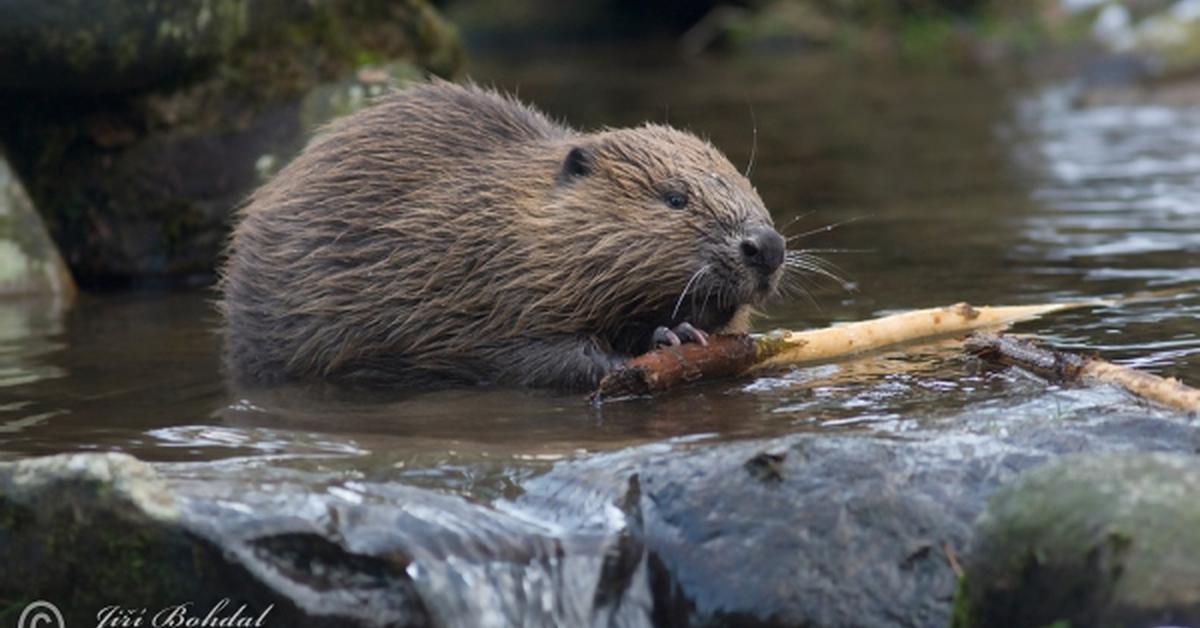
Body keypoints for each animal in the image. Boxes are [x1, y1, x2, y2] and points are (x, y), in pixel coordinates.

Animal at [222, 81, 787, 391]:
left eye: (748, 185)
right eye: (674, 198)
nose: (767, 247)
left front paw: (685, 331)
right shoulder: (474, 291)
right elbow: (524, 354)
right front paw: (659, 343)